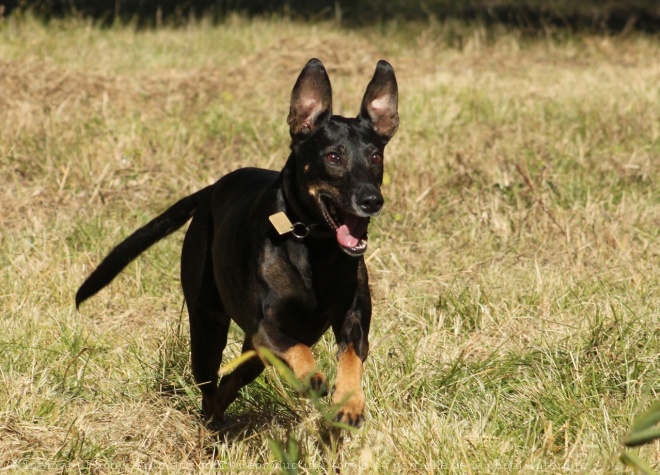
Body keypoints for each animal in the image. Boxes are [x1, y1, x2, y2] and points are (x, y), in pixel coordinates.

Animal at [77, 58, 398, 428]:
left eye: (375, 157)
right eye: (333, 157)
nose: (371, 200)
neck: (315, 247)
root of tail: (211, 190)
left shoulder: (353, 319)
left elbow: (351, 356)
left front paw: (350, 402)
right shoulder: (266, 328)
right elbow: (299, 350)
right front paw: (313, 378)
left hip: (252, 352)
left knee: (232, 380)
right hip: (207, 326)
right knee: (209, 386)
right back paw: (211, 425)